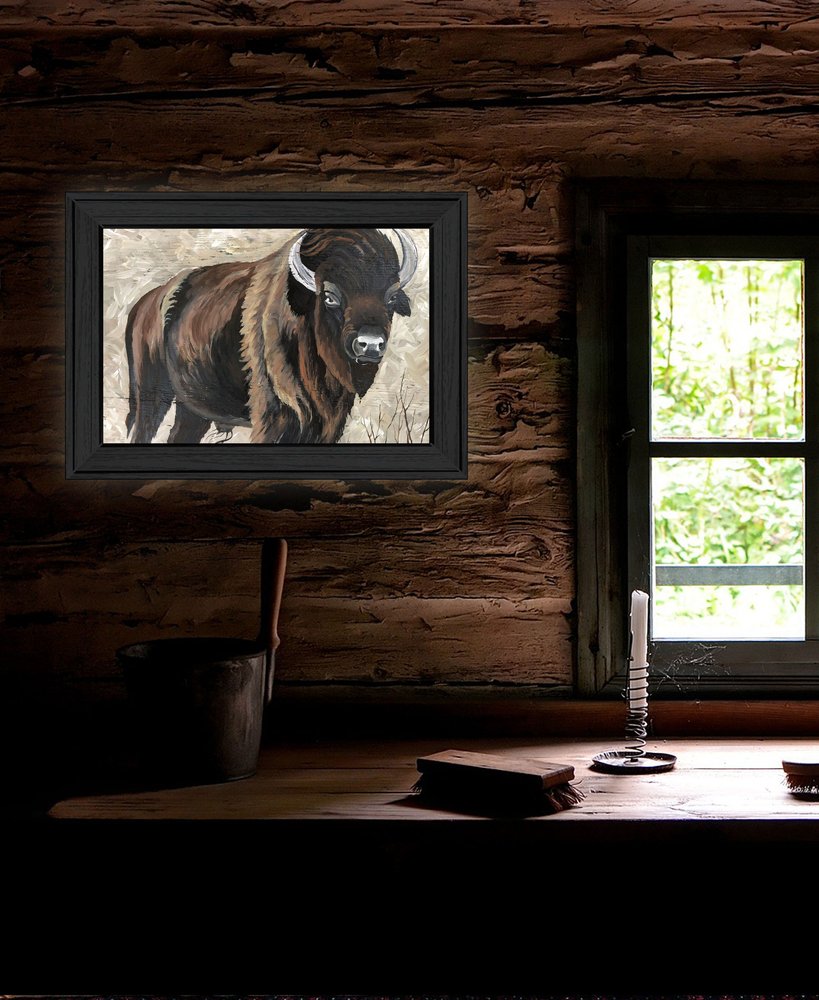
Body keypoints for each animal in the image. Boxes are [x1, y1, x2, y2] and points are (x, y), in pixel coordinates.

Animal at [124, 227, 418, 444]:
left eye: (391, 298)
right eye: (330, 296)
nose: (370, 344)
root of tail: (145, 303)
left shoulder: (330, 422)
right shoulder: (275, 418)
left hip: (193, 409)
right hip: (150, 394)